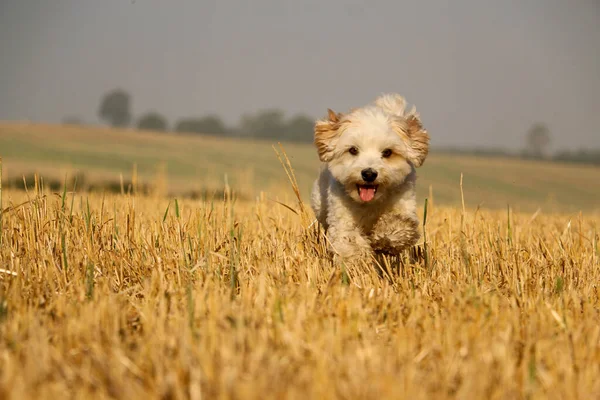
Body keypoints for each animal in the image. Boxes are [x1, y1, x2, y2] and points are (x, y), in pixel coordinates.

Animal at [312, 95, 428, 260]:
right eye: (353, 150)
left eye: (387, 152)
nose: (369, 174)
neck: (370, 204)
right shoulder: (342, 219)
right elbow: (349, 241)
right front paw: (359, 260)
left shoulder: (404, 202)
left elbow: (400, 223)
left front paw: (384, 238)